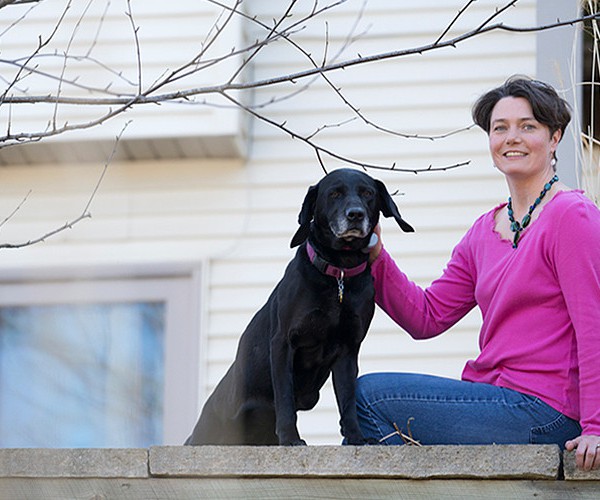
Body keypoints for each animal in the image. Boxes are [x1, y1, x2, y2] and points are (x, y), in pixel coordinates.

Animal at [185, 168, 414, 446]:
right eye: (334, 193)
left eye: (368, 193)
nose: (355, 214)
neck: (340, 272)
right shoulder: (284, 343)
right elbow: (284, 399)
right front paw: (290, 438)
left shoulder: (348, 349)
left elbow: (347, 400)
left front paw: (356, 437)